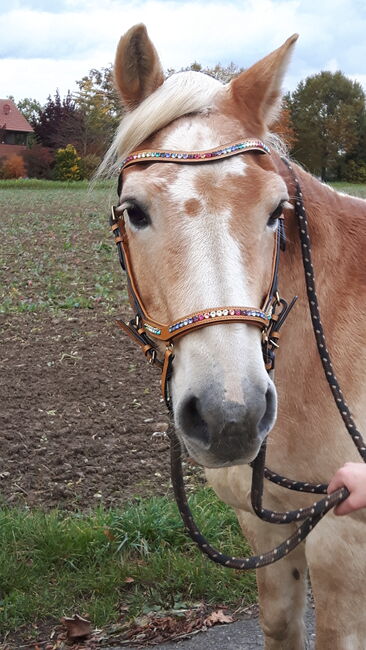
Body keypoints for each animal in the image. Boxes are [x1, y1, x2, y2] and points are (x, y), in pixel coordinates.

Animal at [101, 22, 366, 644]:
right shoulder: (267, 528)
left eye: (275, 211)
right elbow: (280, 624)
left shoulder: (343, 550)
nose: (232, 416)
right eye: (134, 210)